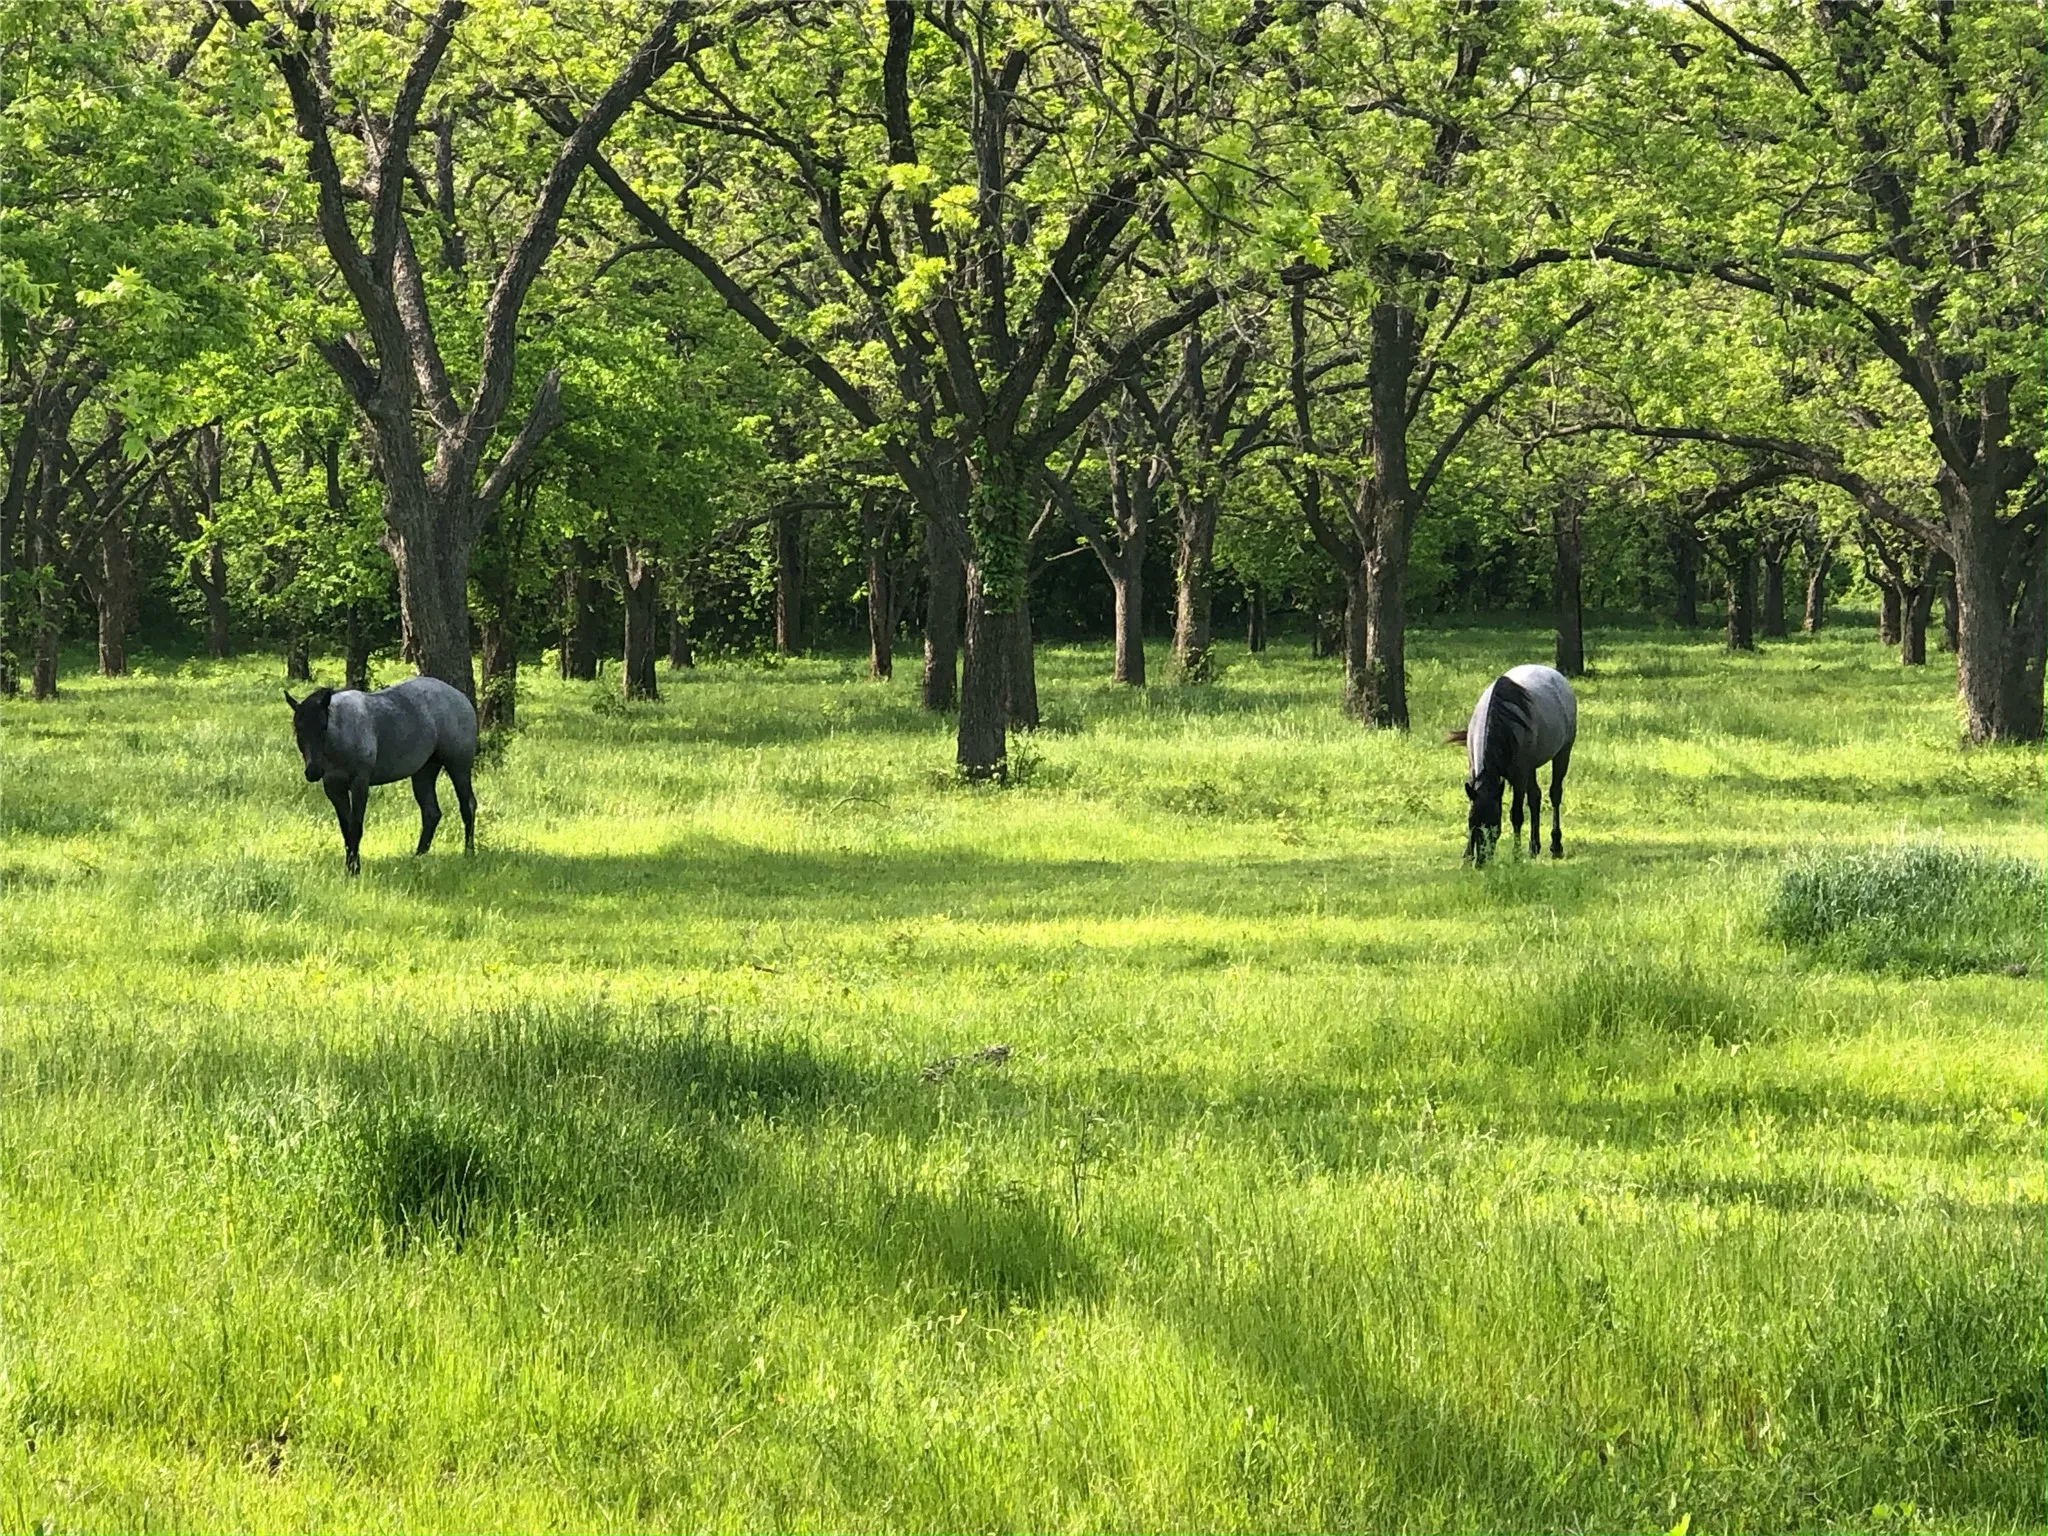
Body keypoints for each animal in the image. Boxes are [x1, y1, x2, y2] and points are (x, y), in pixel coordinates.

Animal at [286, 677, 479, 876]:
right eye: (298, 729)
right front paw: (350, 868)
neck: (343, 735)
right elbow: (346, 829)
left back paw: (468, 853)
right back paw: (417, 857)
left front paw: (355, 871)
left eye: (324, 727)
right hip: (423, 773)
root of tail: (460, 697)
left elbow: (355, 827)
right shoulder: (334, 789)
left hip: (459, 767)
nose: (313, 771)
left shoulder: (360, 784)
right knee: (431, 813)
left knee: (468, 806)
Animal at [1447, 663, 1577, 866]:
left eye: (1494, 824)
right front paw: (1467, 857)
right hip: (1532, 767)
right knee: (1535, 797)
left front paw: (1516, 856)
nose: (1481, 862)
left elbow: (1516, 814)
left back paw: (1555, 846)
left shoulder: (1519, 776)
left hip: (1562, 753)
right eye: (1472, 823)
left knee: (1555, 794)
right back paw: (1534, 847)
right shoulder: (1474, 771)